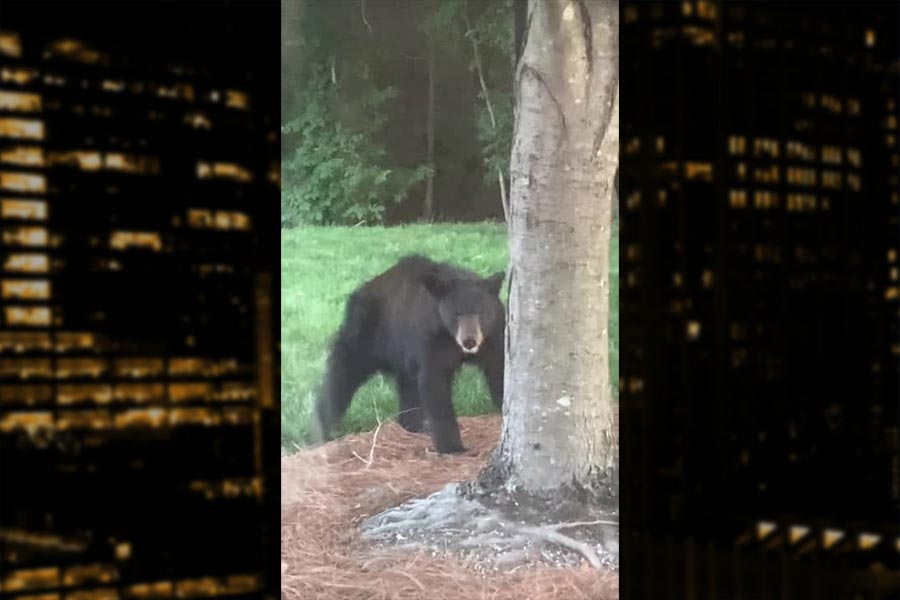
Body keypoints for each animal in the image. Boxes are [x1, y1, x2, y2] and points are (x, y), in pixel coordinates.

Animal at [314, 255, 505, 454]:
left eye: (481, 312)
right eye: (456, 313)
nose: (469, 340)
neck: (452, 340)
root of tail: (363, 289)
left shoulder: (493, 337)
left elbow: (499, 371)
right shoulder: (432, 342)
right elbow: (434, 385)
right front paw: (452, 447)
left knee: (408, 387)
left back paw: (415, 425)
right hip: (364, 332)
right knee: (342, 373)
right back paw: (325, 427)